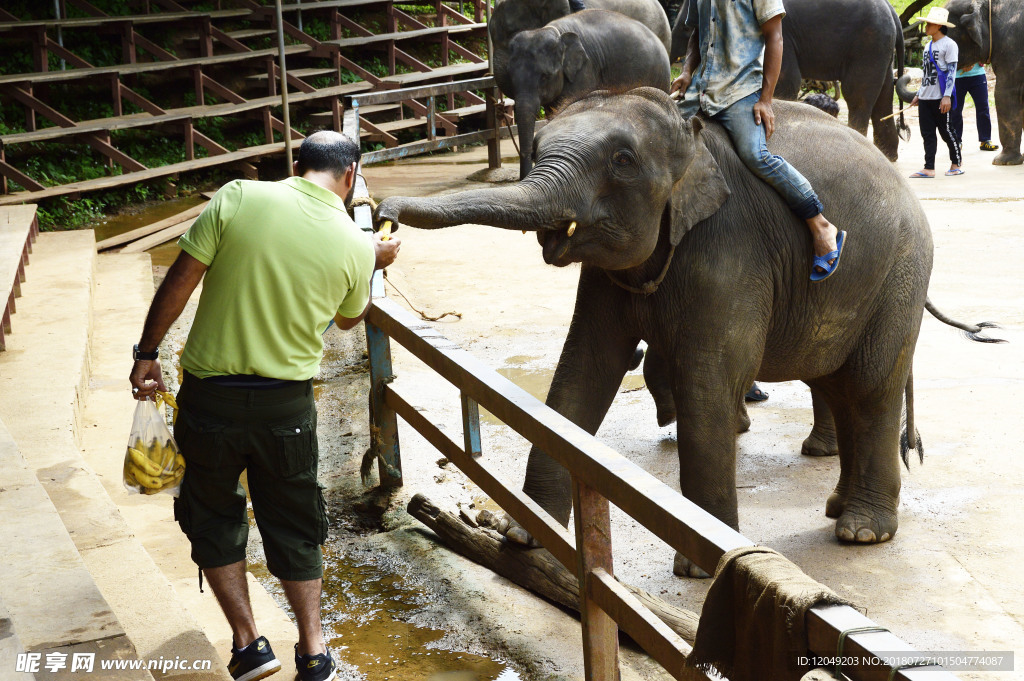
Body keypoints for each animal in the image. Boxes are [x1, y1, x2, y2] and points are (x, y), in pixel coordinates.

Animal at [374, 87, 937, 577]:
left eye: (622, 161)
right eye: (533, 150)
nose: (384, 214)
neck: (688, 137)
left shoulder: (729, 251)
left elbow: (708, 385)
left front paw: (702, 567)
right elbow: (583, 370)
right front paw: (521, 534)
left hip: (900, 274)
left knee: (869, 387)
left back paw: (862, 532)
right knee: (838, 385)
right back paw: (840, 508)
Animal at [671, 0, 905, 160]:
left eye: (685, 29)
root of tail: (894, 13)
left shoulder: (786, 32)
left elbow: (788, 80)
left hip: (869, 44)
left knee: (858, 98)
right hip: (881, 49)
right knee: (883, 100)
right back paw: (889, 156)